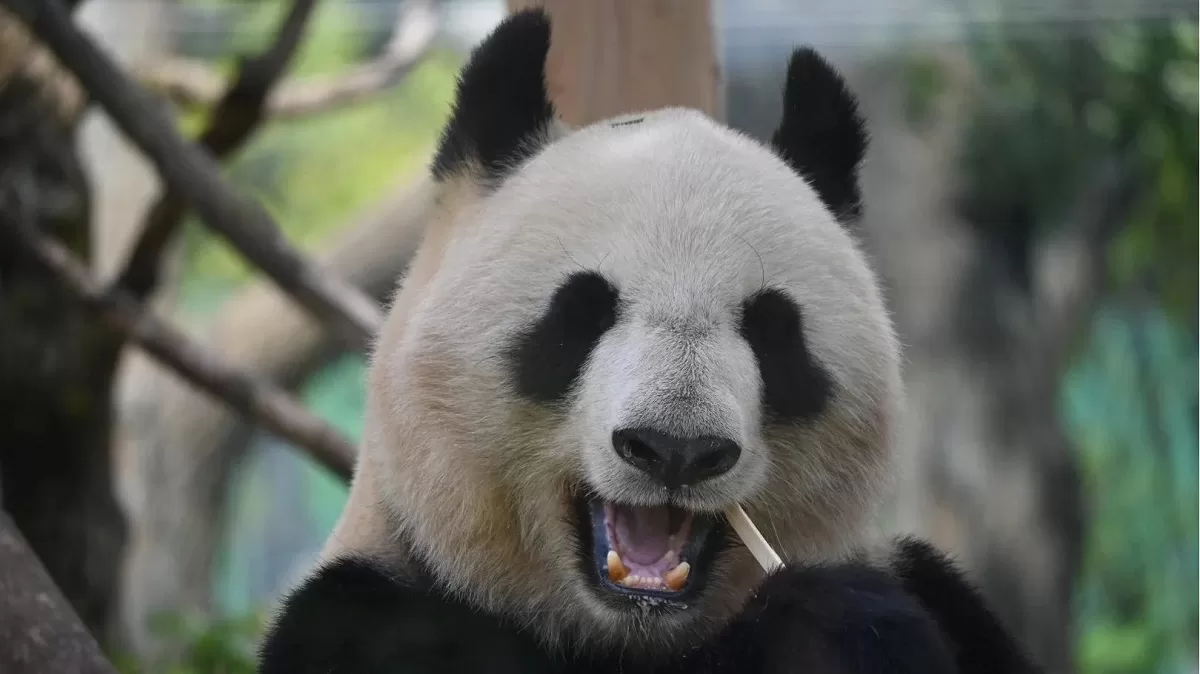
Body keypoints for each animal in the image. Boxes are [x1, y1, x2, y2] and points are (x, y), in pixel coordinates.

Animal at [258, 9, 1043, 674]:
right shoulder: (366, 618)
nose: (676, 449)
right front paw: (834, 624)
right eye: (581, 312)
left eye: (772, 330)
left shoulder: (940, 591)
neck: (633, 632)